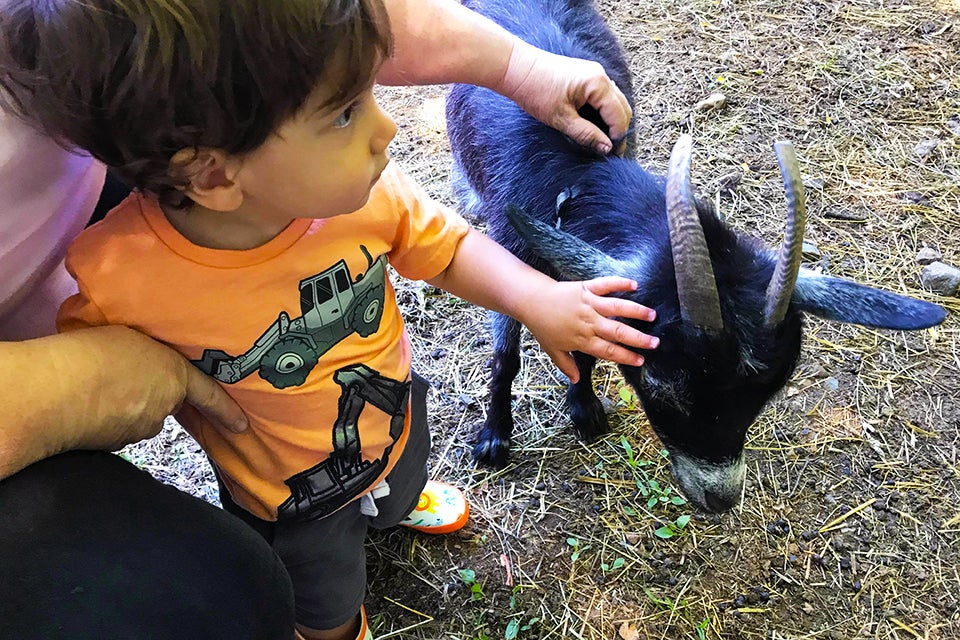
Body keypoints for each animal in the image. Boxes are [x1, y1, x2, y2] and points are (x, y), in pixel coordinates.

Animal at [445, 0, 946, 512]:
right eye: (661, 390)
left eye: (765, 398)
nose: (720, 498)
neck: (578, 173)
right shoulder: (511, 244)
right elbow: (506, 350)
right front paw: (494, 435)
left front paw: (583, 405)